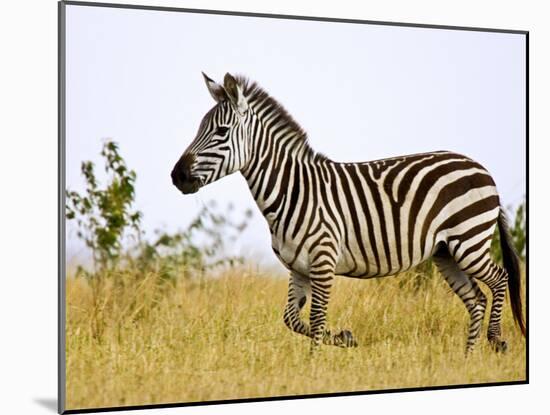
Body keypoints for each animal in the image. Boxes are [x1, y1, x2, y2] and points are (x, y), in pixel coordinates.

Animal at [171, 73, 528, 352]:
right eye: (199, 128)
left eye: (220, 132)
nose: (177, 176)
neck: (292, 190)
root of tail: (481, 167)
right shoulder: (298, 268)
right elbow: (291, 320)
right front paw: (344, 338)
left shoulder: (323, 262)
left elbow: (315, 320)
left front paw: (313, 366)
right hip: (446, 253)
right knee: (476, 299)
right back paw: (468, 357)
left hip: (468, 240)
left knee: (500, 279)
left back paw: (496, 340)